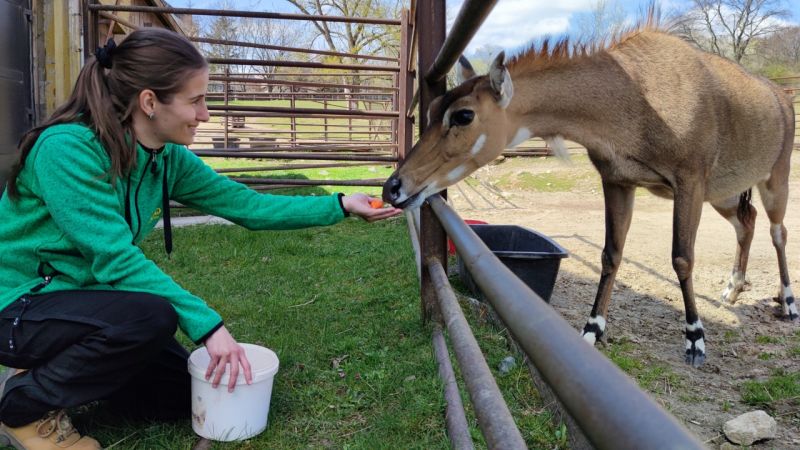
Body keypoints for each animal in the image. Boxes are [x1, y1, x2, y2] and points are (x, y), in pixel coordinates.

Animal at [384, 24, 796, 368]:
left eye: (464, 115)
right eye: (432, 108)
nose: (393, 187)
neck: (636, 98)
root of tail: (780, 94)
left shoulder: (689, 180)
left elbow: (681, 258)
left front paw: (695, 338)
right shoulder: (618, 181)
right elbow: (610, 254)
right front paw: (592, 329)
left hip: (773, 178)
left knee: (778, 231)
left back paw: (788, 302)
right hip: (723, 193)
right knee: (746, 222)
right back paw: (732, 290)